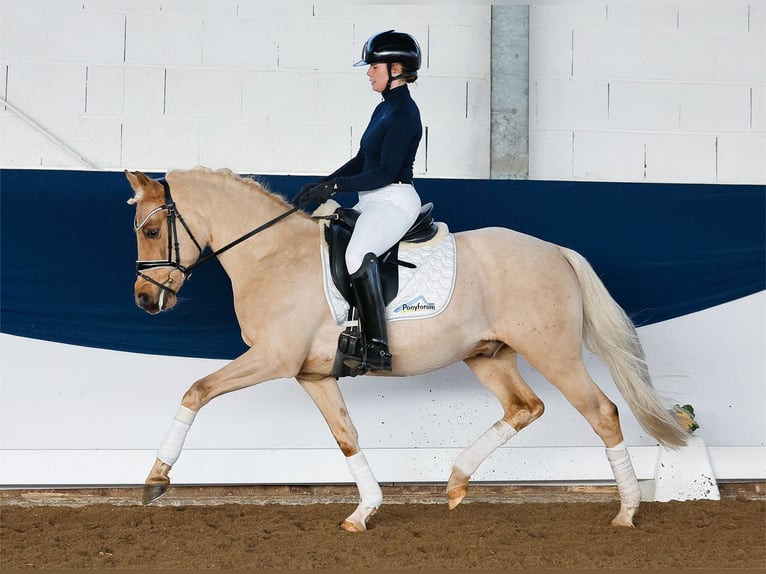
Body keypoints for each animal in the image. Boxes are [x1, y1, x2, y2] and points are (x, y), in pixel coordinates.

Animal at [126, 169, 688, 532]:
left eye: (152, 231)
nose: (145, 301)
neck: (271, 255)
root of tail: (556, 251)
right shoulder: (313, 375)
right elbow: (346, 437)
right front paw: (364, 512)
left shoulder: (273, 359)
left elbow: (196, 390)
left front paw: (155, 480)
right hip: (489, 354)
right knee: (525, 407)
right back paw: (456, 483)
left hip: (554, 354)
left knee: (602, 412)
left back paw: (626, 512)